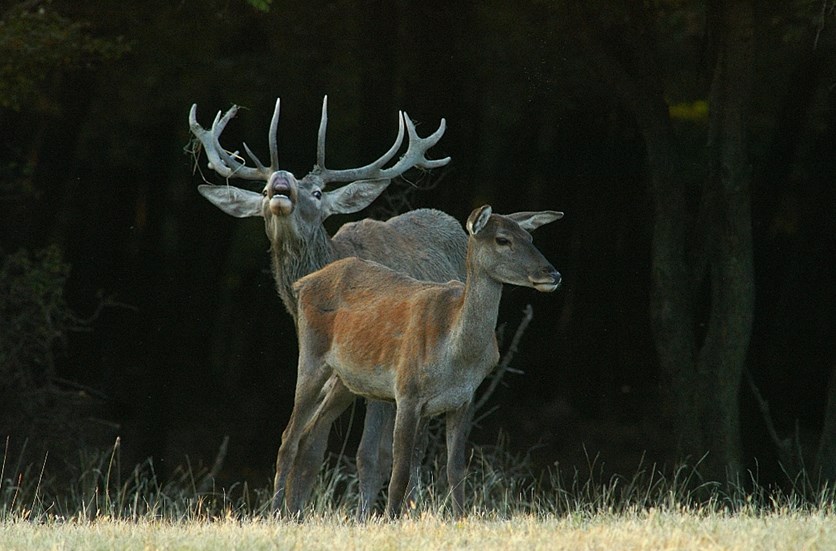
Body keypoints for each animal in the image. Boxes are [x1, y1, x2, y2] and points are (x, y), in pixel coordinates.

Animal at [187, 98, 466, 516]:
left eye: (317, 193)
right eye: (263, 187)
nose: (281, 181)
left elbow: (370, 454)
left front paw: (365, 515)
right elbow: (310, 444)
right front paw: (292, 510)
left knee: (416, 447)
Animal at [284, 206, 564, 516]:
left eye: (530, 237)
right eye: (503, 239)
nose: (553, 273)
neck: (456, 355)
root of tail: (302, 283)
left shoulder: (464, 399)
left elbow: (455, 469)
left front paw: (459, 517)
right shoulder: (407, 391)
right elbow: (400, 472)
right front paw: (390, 519)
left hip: (347, 381)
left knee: (309, 435)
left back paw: (295, 511)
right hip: (311, 357)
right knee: (289, 437)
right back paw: (277, 510)